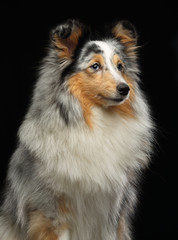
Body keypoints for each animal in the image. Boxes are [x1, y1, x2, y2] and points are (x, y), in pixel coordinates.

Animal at [0, 19, 154, 240]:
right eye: (95, 66)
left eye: (120, 67)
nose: (125, 89)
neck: (97, 125)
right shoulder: (52, 211)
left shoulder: (112, 210)